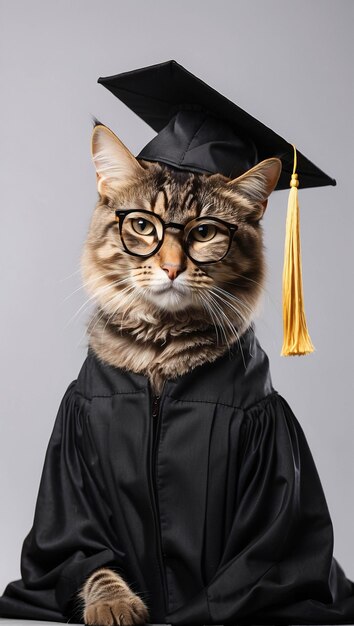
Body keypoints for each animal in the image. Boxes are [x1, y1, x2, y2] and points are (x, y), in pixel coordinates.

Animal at [76, 120, 280, 620]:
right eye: (142, 226)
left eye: (204, 232)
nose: (171, 268)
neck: (159, 348)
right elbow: (92, 559)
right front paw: (114, 604)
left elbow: (242, 571)